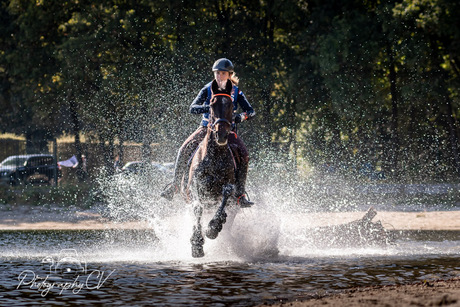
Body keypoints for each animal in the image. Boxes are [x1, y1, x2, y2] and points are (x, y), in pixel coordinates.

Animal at [182, 79, 241, 258]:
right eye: (212, 104)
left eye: (231, 105)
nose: (221, 135)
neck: (214, 156)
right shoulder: (194, 186)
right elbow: (197, 208)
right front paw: (196, 244)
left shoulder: (228, 186)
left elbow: (225, 196)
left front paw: (213, 228)